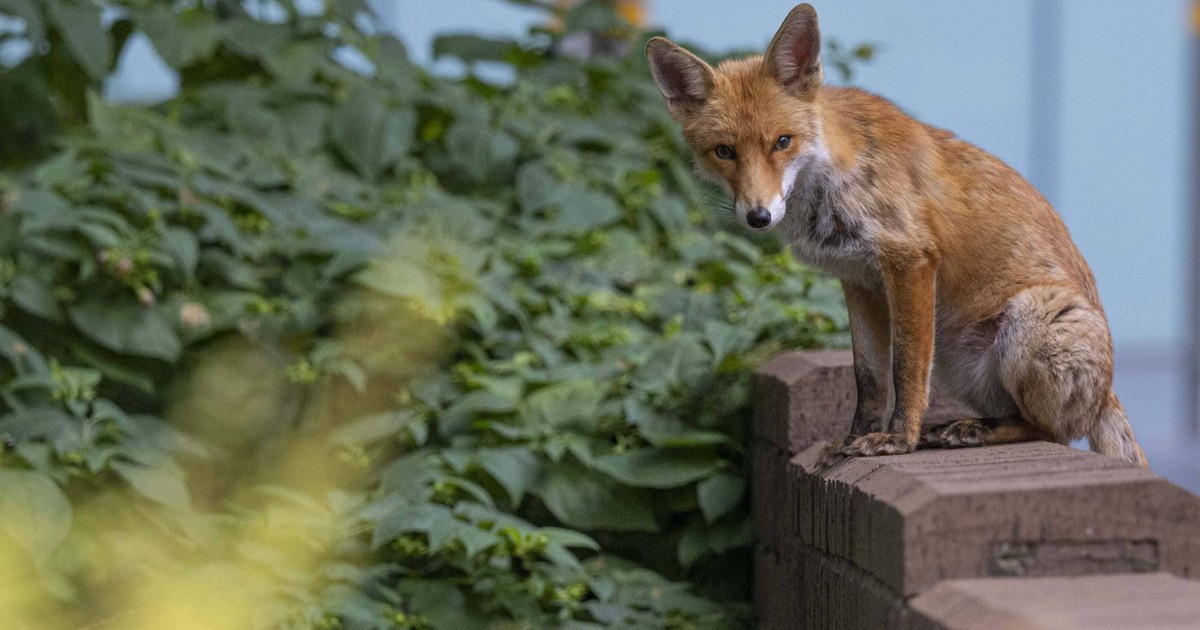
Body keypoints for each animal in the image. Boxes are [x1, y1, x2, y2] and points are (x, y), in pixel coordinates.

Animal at [646, 4, 1147, 470]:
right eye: (724, 152)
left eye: (782, 142)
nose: (758, 216)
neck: (830, 184)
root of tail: (1107, 391)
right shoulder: (859, 280)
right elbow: (869, 377)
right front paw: (853, 440)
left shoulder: (910, 262)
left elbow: (905, 369)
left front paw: (897, 440)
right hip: (957, 363)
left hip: (1031, 321)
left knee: (1053, 432)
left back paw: (969, 431)